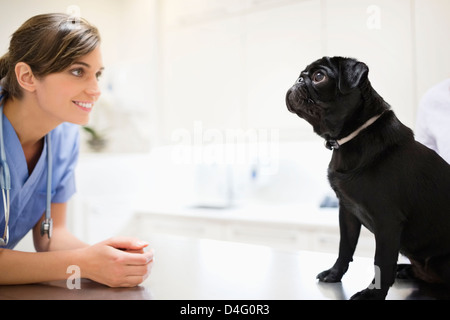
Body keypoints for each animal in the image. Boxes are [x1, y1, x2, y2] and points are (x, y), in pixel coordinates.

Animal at [284, 56, 450, 298]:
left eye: (318, 77)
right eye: (301, 75)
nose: (298, 80)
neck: (350, 139)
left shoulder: (387, 223)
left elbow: (381, 262)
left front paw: (373, 293)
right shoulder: (347, 213)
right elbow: (345, 248)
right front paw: (334, 274)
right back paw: (405, 270)